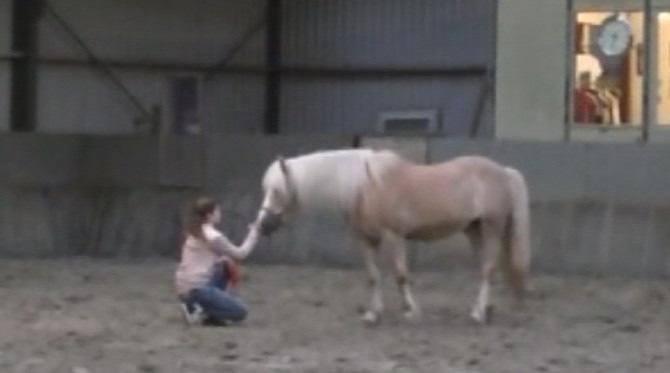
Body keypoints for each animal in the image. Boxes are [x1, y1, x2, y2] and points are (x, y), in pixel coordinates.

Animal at [255, 147, 532, 322]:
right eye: (266, 189)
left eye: (278, 191)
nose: (262, 225)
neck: (364, 187)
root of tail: (504, 171)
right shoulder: (366, 240)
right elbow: (373, 276)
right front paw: (372, 314)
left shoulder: (393, 236)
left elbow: (400, 275)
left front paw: (411, 311)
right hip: (474, 230)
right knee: (486, 269)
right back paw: (483, 309)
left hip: (491, 227)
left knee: (488, 269)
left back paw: (478, 314)